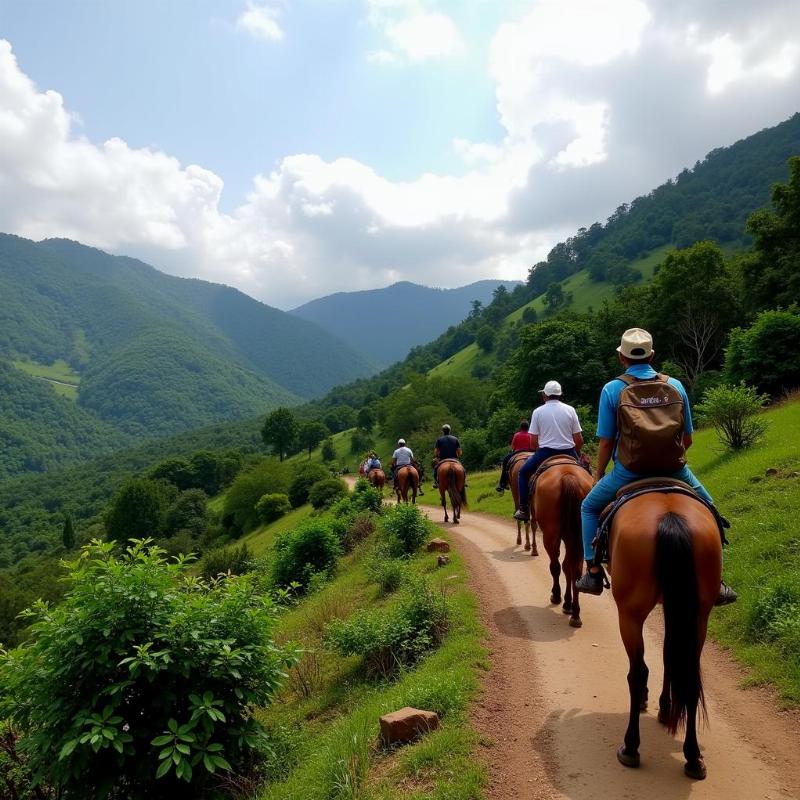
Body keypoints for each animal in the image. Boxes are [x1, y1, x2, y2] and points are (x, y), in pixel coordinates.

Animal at [536, 462, 592, 624]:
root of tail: (568, 476)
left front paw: (561, 598)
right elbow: (569, 568)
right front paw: (569, 603)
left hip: (550, 536)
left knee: (556, 566)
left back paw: (557, 596)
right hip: (580, 537)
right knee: (575, 569)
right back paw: (575, 613)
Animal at [608, 494, 720, 780]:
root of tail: (671, 518)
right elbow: (670, 659)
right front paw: (665, 706)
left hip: (629, 614)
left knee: (635, 674)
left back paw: (630, 747)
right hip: (698, 616)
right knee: (688, 675)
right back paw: (693, 757)